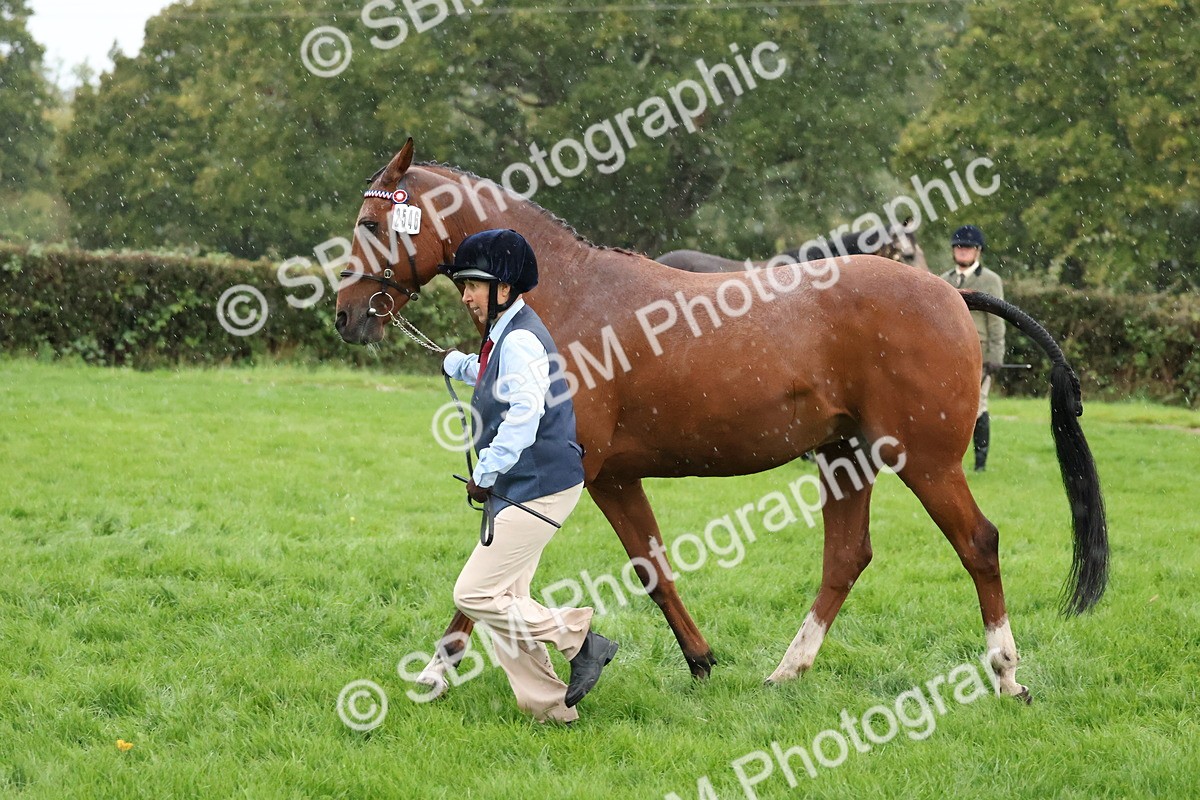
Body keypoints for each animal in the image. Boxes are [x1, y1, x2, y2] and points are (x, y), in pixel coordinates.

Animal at [335, 139, 1107, 702]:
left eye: (371, 225)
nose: (345, 315)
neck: (561, 295)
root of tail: (951, 295)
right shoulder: (614, 477)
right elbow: (652, 568)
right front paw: (700, 659)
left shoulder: (565, 471)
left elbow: (490, 580)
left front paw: (436, 670)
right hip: (844, 458)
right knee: (846, 557)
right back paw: (788, 670)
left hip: (924, 459)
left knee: (978, 543)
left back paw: (1006, 674)